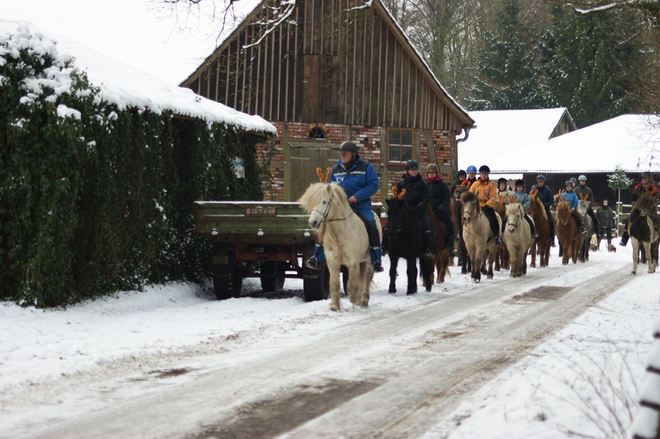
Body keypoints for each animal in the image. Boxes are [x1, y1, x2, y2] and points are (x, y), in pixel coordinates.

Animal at [296, 180, 378, 312]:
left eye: (324, 202)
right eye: (312, 203)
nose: (313, 222)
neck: (338, 233)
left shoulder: (352, 261)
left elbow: (352, 284)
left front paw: (353, 298)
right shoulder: (332, 261)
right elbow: (334, 283)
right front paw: (334, 305)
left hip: (369, 259)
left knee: (367, 276)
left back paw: (364, 300)